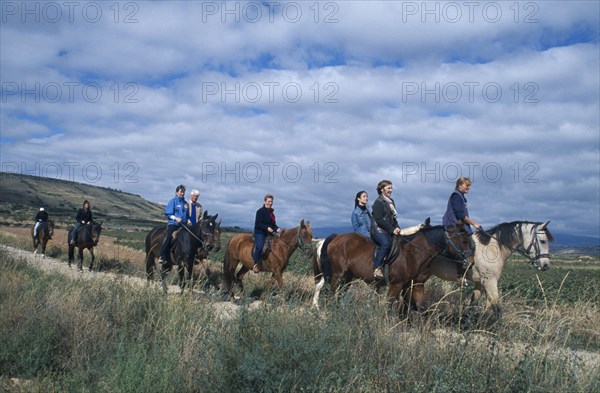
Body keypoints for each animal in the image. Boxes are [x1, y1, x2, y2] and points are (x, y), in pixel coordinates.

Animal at [312, 222, 476, 310]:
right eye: (464, 240)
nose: (471, 261)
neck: (413, 252)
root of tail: (335, 238)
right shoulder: (396, 285)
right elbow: (389, 306)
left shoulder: (414, 285)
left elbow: (418, 307)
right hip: (337, 274)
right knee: (330, 290)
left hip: (348, 277)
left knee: (339, 292)